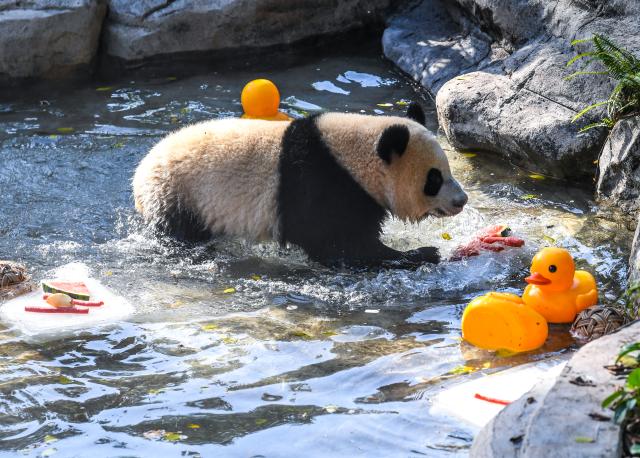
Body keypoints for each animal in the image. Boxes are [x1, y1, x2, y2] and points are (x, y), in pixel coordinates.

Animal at [132, 103, 468, 267]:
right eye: (434, 178)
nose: (461, 200)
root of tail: (139, 174)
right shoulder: (322, 184)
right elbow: (340, 245)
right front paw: (422, 254)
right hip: (180, 195)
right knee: (181, 235)